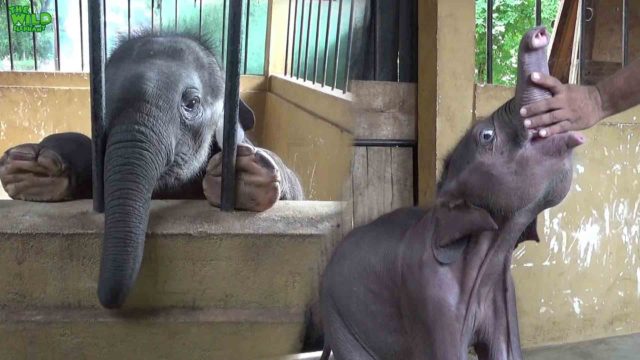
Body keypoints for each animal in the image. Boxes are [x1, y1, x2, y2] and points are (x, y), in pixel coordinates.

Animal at [320, 26, 584, 358]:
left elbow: (505, 351)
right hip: (338, 318)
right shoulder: (431, 297)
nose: (537, 32)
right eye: (486, 136)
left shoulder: (502, 294)